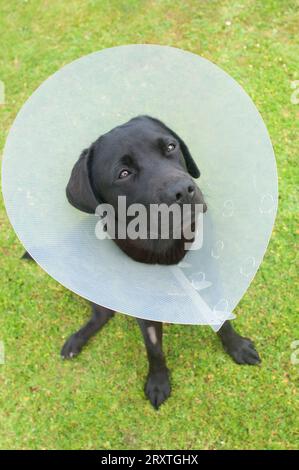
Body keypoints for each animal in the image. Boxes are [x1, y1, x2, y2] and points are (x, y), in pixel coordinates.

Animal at [25, 114, 262, 408]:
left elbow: (222, 320)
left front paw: (237, 347)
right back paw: (77, 340)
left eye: (171, 147)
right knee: (103, 312)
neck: (165, 249)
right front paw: (158, 381)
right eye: (123, 174)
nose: (184, 191)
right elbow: (153, 347)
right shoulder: (143, 309)